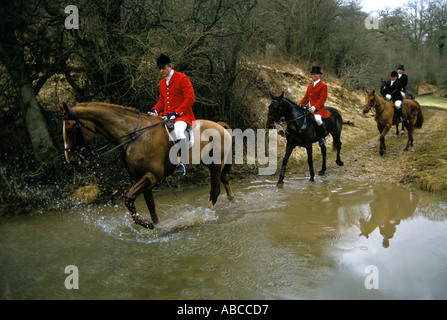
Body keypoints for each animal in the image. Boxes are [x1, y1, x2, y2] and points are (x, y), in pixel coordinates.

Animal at [60, 101, 234, 229]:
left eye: (69, 130)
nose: (70, 159)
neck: (133, 136)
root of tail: (219, 125)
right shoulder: (143, 178)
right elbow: (150, 206)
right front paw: (155, 227)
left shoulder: (152, 177)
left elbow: (128, 198)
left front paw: (146, 224)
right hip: (212, 165)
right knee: (225, 181)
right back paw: (230, 201)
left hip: (215, 165)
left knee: (215, 191)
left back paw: (206, 215)